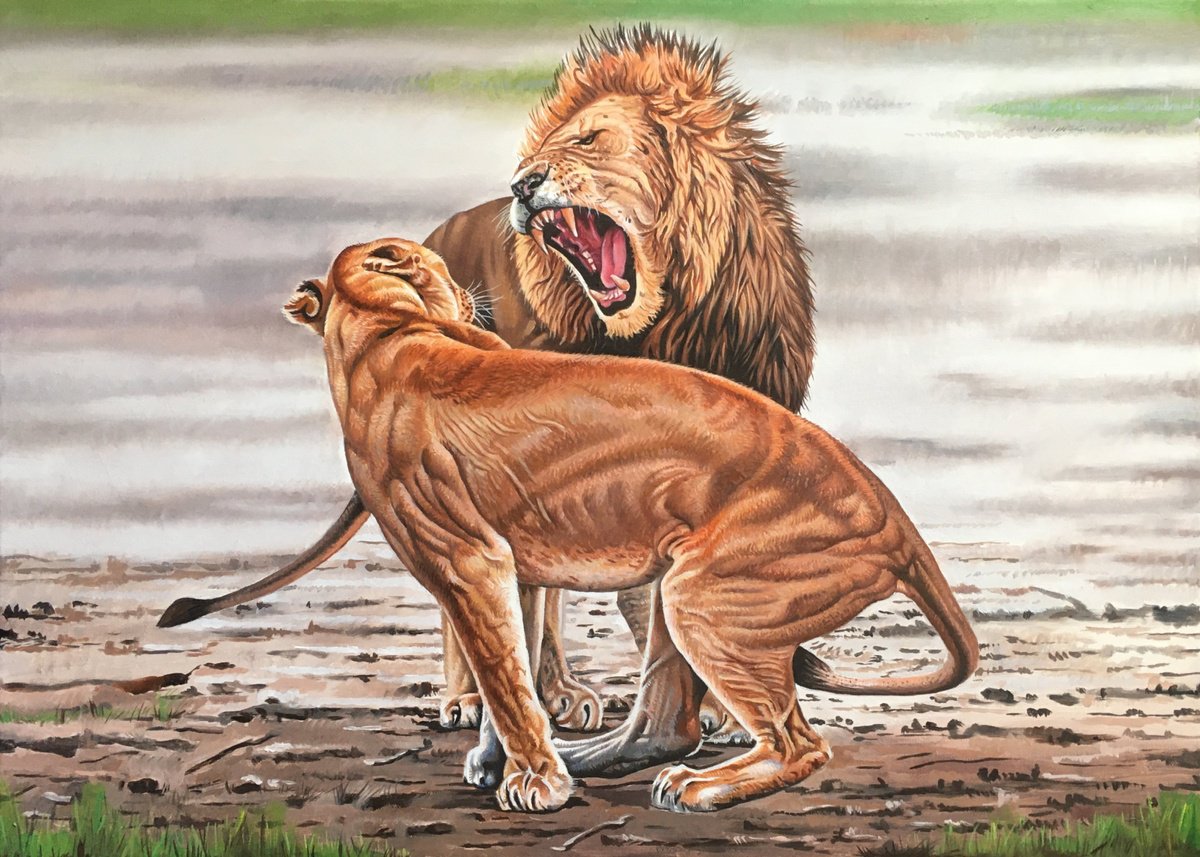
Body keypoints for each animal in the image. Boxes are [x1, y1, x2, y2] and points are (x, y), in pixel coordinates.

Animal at [159, 25, 817, 765]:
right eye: (540, 153)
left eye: (591, 139)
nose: (523, 183)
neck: (666, 326)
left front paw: (723, 712)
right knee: (491, 600)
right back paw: (483, 698)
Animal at [273, 237, 977, 813]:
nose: (472, 298)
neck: (387, 333)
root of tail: (898, 524)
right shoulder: (512, 568)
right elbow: (513, 670)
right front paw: (503, 763)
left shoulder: (468, 561)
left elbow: (503, 680)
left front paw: (536, 783)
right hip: (678, 586)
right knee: (669, 726)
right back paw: (595, 758)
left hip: (701, 594)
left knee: (798, 745)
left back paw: (699, 788)